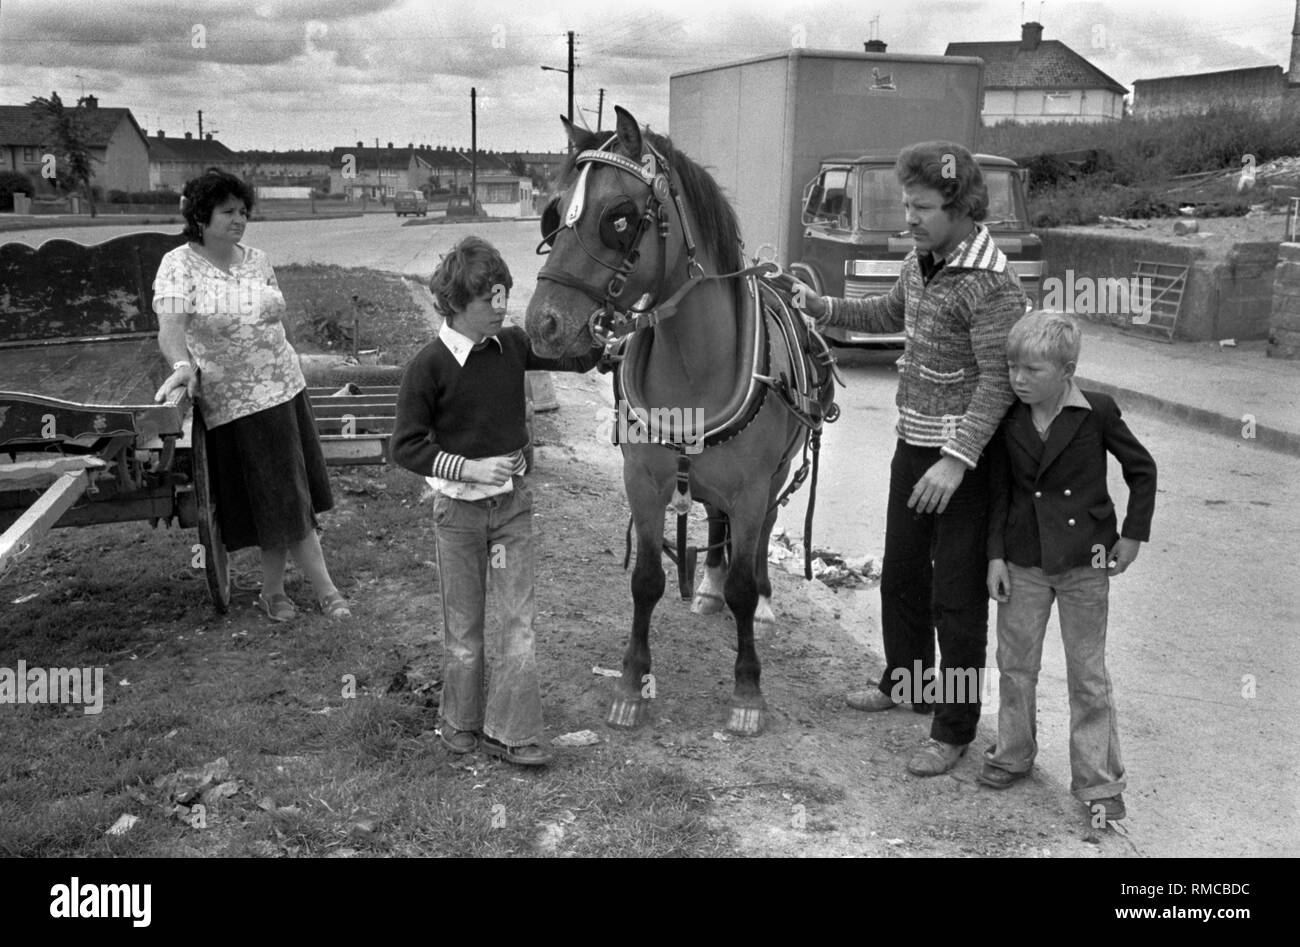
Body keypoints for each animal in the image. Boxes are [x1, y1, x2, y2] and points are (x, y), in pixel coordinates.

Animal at [527, 107, 842, 733]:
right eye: (554, 211)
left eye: (619, 218)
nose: (542, 325)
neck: (697, 365)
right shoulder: (644, 482)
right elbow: (646, 579)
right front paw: (630, 683)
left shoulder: (750, 488)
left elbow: (744, 579)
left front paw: (747, 691)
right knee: (716, 524)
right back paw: (710, 586)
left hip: (774, 476)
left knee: (761, 533)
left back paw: (761, 601)